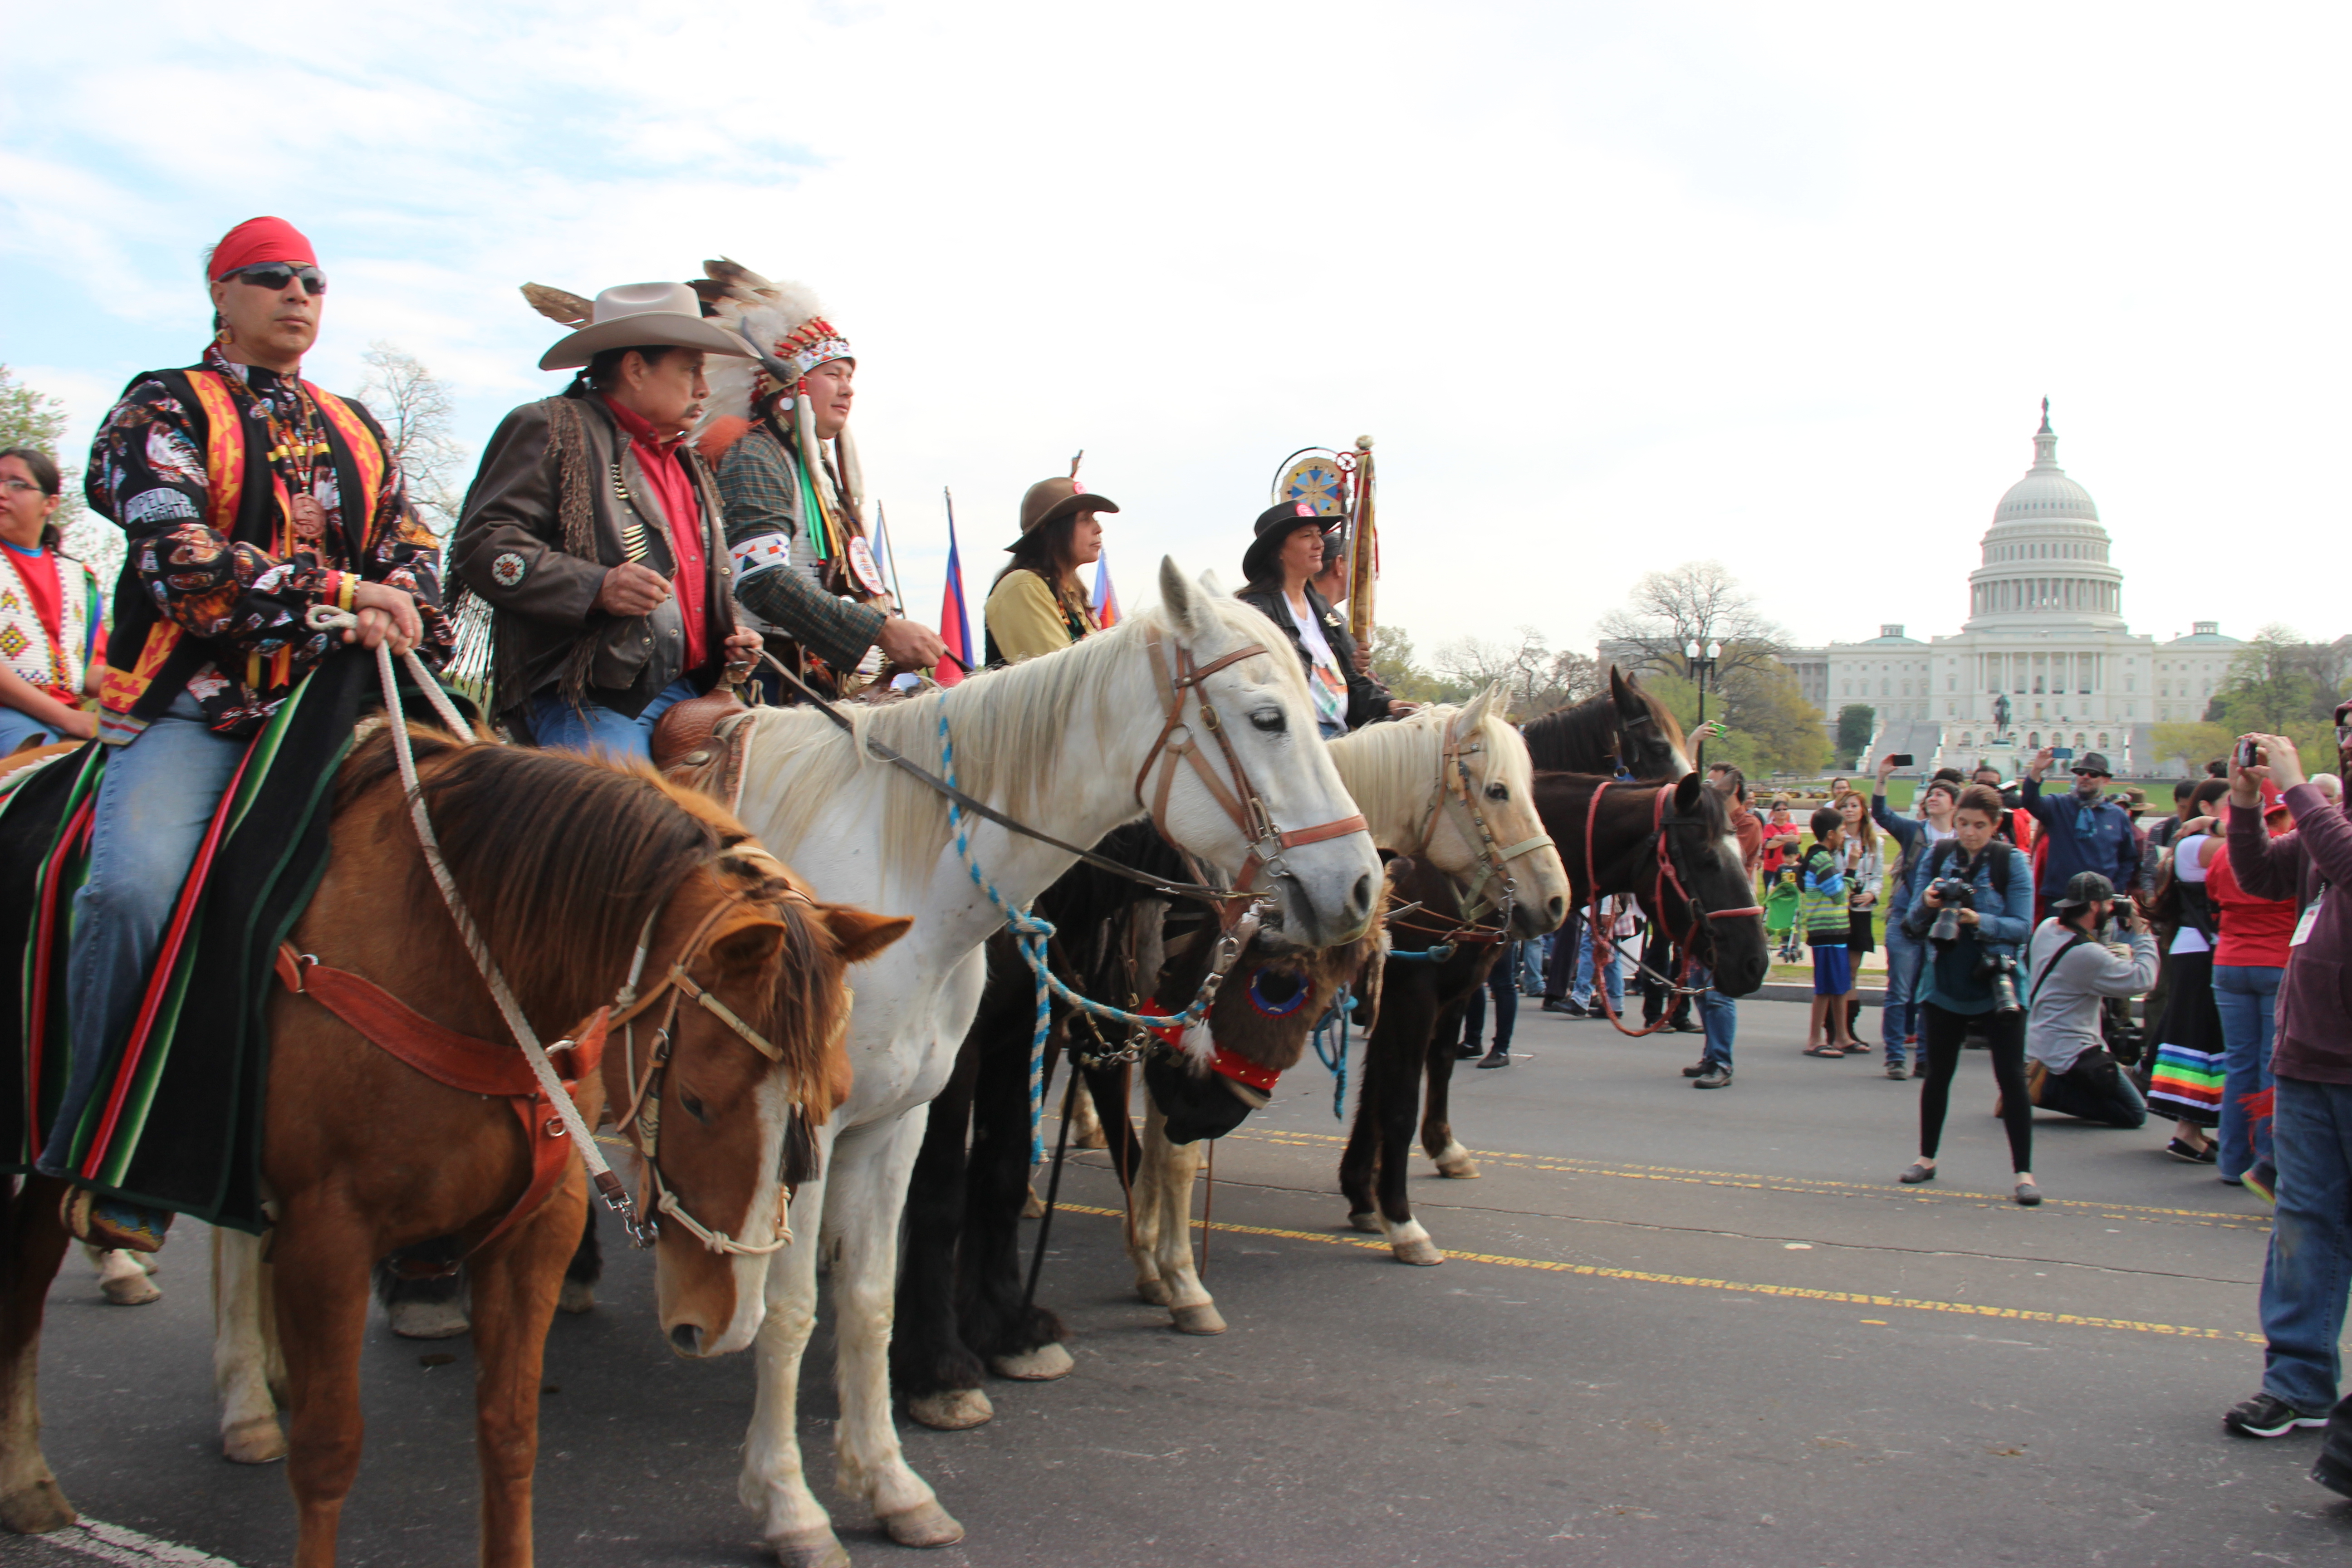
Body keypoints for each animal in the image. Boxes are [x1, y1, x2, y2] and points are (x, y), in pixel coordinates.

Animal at [3, 725, 904, 1567]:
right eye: (694, 1100)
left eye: (830, 1099)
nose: (720, 1327)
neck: (460, 963)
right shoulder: (329, 1235)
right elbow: (328, 1451)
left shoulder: (537, 1227)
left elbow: (509, 1434)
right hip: (48, 1154)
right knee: (32, 1280)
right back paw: (42, 1472)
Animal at [720, 561, 1386, 1566]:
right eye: (1268, 718)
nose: (1355, 885)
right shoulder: (859, 1107)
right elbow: (908, 1225)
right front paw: (928, 1380)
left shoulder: (986, 1061)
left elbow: (979, 1195)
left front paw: (1000, 1336)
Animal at [1341, 770, 1769, 1259]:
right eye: (1707, 858)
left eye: (1745, 854)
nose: (1755, 962)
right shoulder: (1411, 992)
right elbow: (1398, 1101)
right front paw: (1401, 1218)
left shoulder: (1445, 990)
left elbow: (1408, 1077)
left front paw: (1366, 1189)